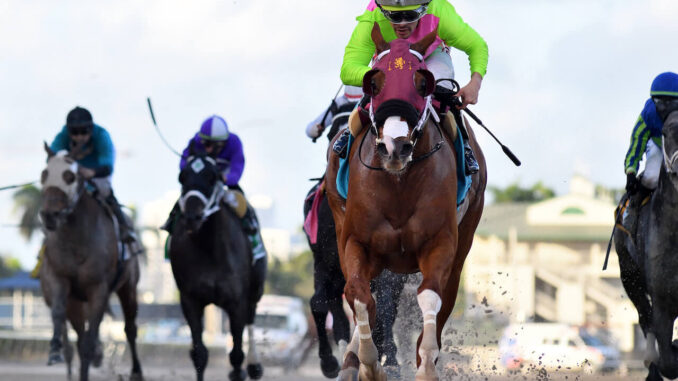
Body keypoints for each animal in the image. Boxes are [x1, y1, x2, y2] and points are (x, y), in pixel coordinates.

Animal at [39, 143, 143, 380]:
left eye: (69, 176)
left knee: (130, 329)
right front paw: (54, 350)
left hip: (128, 286)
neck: (77, 239)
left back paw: (135, 371)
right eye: (44, 174)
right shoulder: (59, 279)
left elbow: (89, 340)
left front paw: (92, 354)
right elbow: (58, 313)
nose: (49, 215)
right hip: (77, 302)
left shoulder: (98, 288)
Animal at [169, 151, 266, 380]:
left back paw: (255, 366)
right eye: (182, 177)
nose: (192, 217)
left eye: (212, 177)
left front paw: (242, 369)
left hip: (255, 289)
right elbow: (199, 354)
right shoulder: (190, 300)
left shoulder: (236, 301)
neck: (209, 249)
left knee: (251, 317)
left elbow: (237, 355)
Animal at [326, 23, 488, 380]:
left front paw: (425, 367)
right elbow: (360, 296)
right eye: (373, 82)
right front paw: (369, 364)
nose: (394, 147)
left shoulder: (440, 243)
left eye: (422, 82)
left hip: (463, 242)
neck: (398, 183)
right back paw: (350, 360)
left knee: (444, 301)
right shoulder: (356, 241)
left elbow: (430, 299)